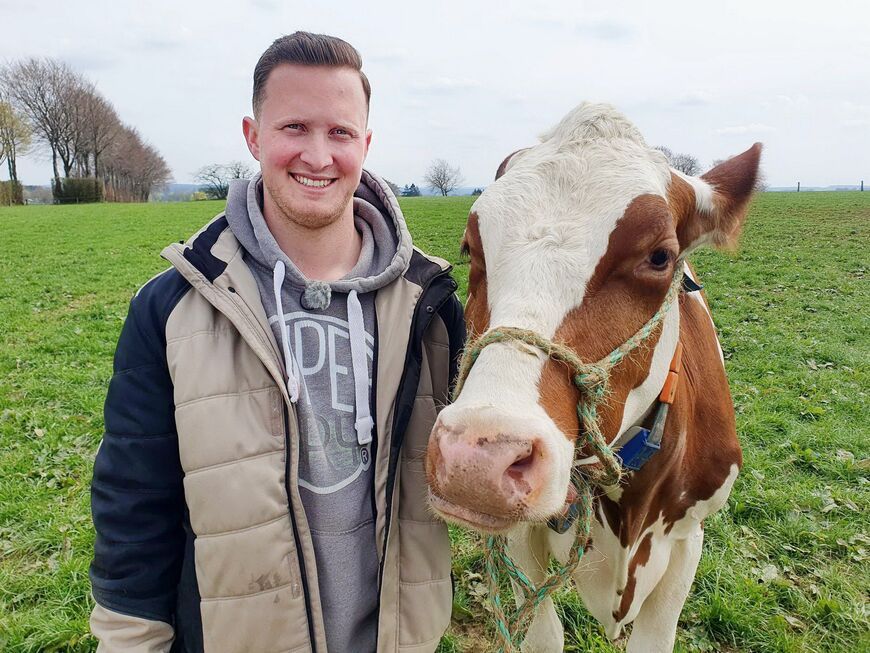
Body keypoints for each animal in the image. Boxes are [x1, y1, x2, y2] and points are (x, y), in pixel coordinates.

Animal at [426, 102, 760, 652]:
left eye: (660, 256)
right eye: (471, 248)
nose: (476, 458)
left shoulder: (688, 537)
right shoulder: (521, 538)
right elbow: (543, 634)